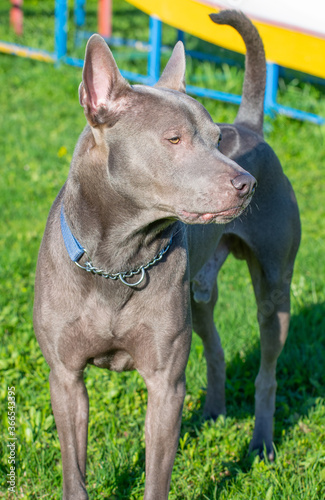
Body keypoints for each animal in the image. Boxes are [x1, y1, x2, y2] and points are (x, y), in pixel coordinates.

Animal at [33, 8, 298, 500]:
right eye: (173, 139)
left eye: (216, 139)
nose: (246, 184)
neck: (118, 260)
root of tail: (249, 126)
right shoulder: (65, 378)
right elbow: (73, 469)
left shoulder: (166, 385)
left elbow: (157, 475)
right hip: (199, 294)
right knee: (214, 347)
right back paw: (214, 411)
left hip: (275, 289)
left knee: (268, 369)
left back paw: (262, 443)